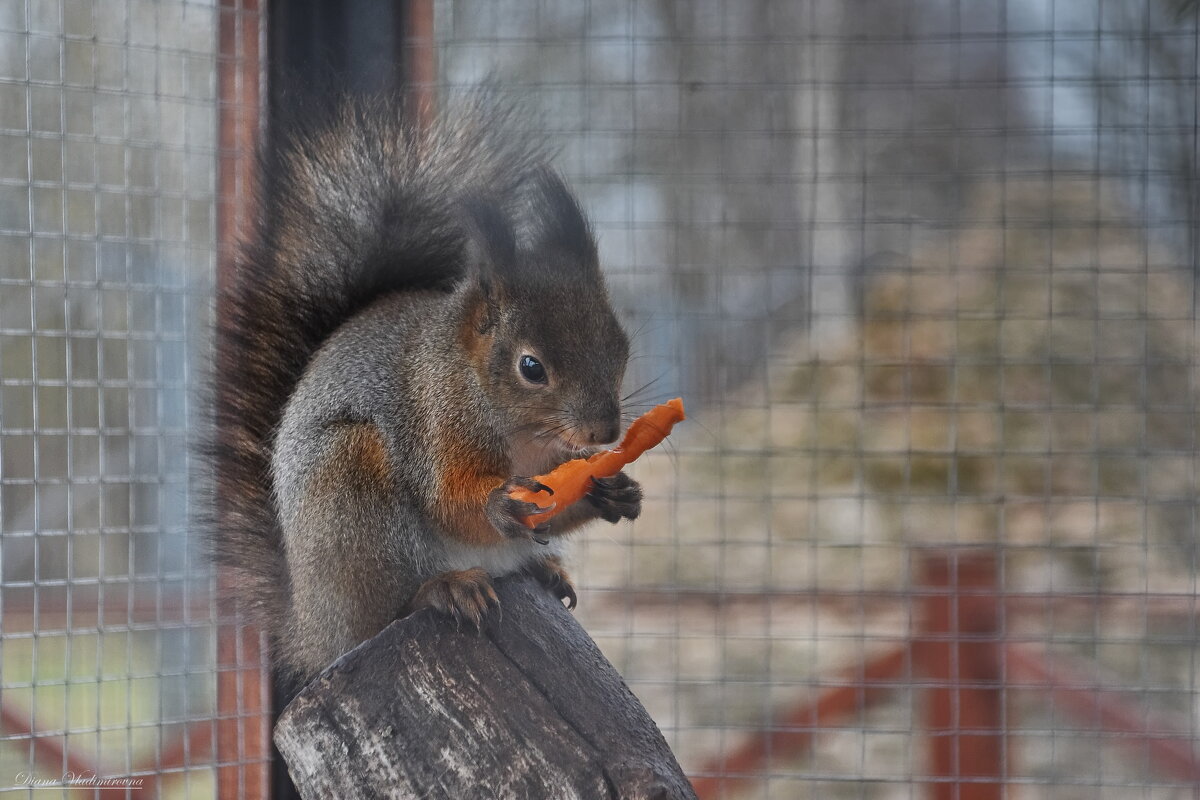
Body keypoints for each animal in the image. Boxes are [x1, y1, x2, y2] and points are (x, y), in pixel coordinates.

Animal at [208, 95, 638, 690]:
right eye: (531, 367)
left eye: (621, 346)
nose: (606, 431)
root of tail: (311, 627)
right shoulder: (435, 419)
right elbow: (444, 500)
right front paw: (499, 503)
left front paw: (612, 490)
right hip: (349, 495)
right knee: (384, 611)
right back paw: (441, 589)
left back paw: (545, 571)